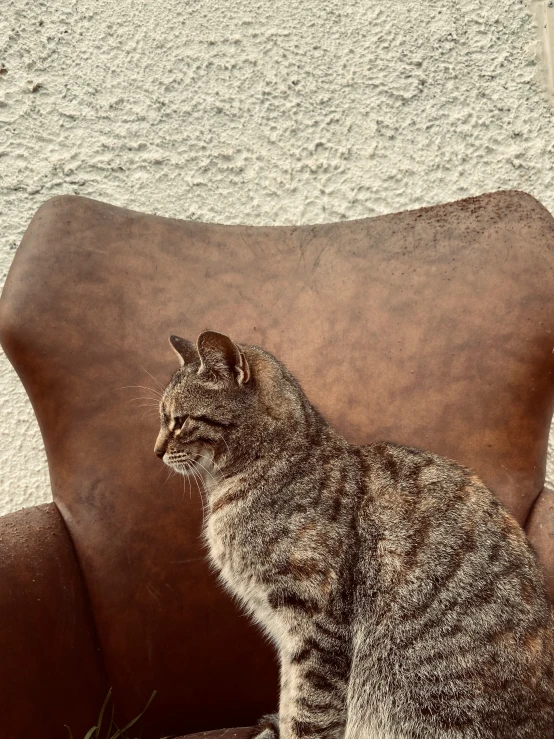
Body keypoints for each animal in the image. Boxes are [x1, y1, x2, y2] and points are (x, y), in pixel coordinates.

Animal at [153, 330, 552, 739]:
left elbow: (306, 710)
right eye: (163, 418)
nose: (156, 451)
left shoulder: (316, 626)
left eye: (179, 421)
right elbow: (290, 695)